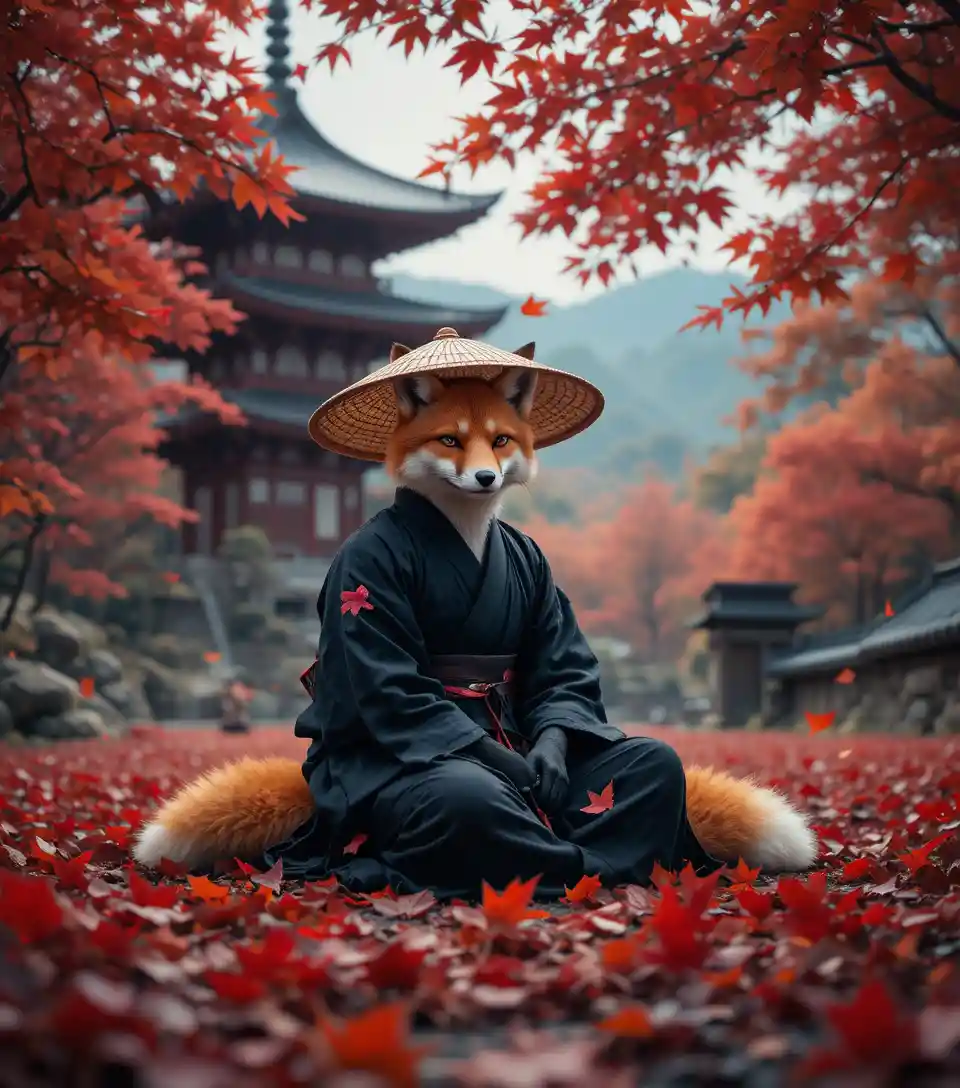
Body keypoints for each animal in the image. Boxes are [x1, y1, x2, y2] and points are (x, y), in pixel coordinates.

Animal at [133, 365, 818, 877]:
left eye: (502, 440)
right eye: (450, 441)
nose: (486, 476)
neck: (462, 525)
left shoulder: (543, 584)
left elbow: (562, 677)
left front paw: (546, 768)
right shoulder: (367, 590)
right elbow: (402, 688)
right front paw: (523, 776)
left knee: (652, 765)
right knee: (467, 803)